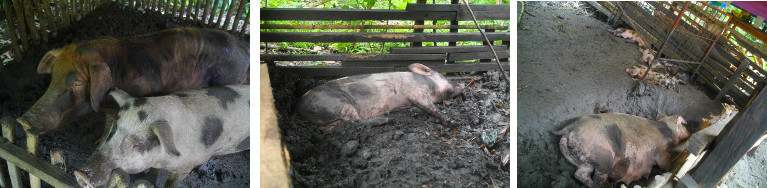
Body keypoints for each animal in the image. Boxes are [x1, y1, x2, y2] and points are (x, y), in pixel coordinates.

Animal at [73, 85, 249, 188]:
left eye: (137, 144)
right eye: (114, 128)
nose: (81, 174)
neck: (164, 159)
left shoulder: (189, 165)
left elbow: (172, 182)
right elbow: (153, 172)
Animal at [294, 62, 462, 131]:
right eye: (445, 77)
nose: (461, 84)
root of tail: (299, 107)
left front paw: (413, 112)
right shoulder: (416, 92)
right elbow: (432, 108)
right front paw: (453, 122)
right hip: (340, 104)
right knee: (354, 121)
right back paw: (389, 120)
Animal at [552, 112, 688, 187]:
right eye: (684, 126)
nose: (689, 133)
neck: (668, 130)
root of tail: (568, 128)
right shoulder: (662, 152)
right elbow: (665, 162)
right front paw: (671, 168)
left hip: (585, 161)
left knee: (580, 175)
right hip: (604, 157)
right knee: (598, 178)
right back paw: (608, 185)